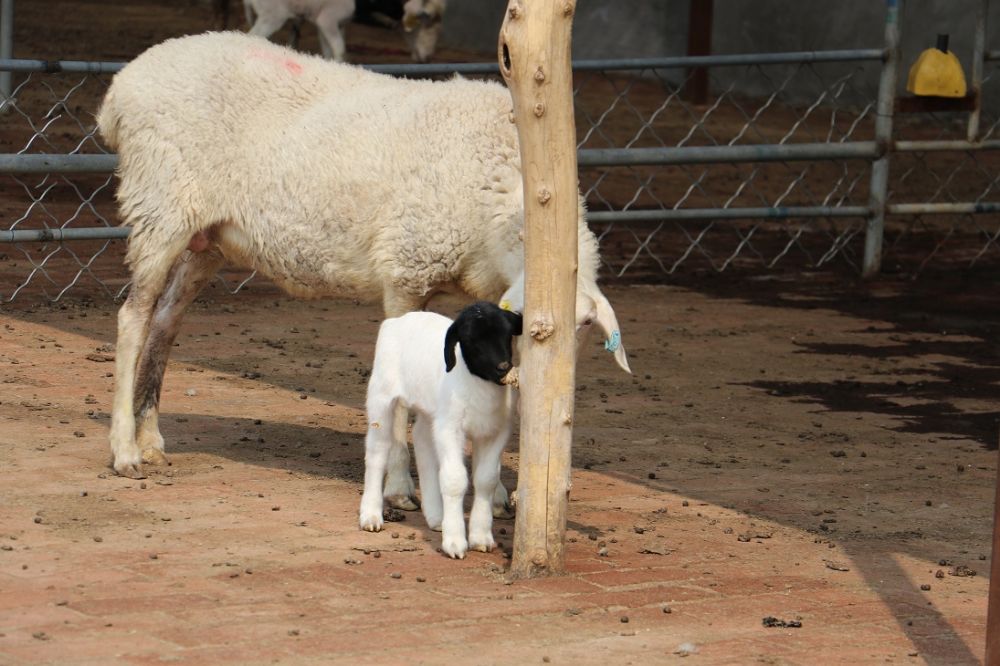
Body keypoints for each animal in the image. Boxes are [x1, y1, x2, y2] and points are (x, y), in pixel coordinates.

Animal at [95, 31, 624, 488]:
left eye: (583, 327)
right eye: (535, 325)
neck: (503, 186)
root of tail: (123, 86)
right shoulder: (408, 268)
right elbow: (404, 398)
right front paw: (400, 484)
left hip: (207, 234)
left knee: (165, 321)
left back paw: (150, 438)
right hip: (160, 204)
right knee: (133, 318)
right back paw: (124, 451)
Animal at [242, 0, 446, 62]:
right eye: (426, 23)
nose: (428, 58)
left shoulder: (331, 24)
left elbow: (328, 53)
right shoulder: (328, 19)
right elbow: (340, 51)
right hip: (272, 16)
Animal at [360, 300, 520, 556]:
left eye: (508, 334)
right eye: (470, 339)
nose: (503, 367)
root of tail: (398, 320)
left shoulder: (497, 431)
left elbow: (486, 480)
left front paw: (481, 537)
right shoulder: (450, 428)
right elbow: (454, 479)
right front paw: (455, 542)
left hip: (431, 411)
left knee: (422, 441)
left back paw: (436, 517)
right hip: (381, 396)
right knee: (377, 452)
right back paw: (371, 516)